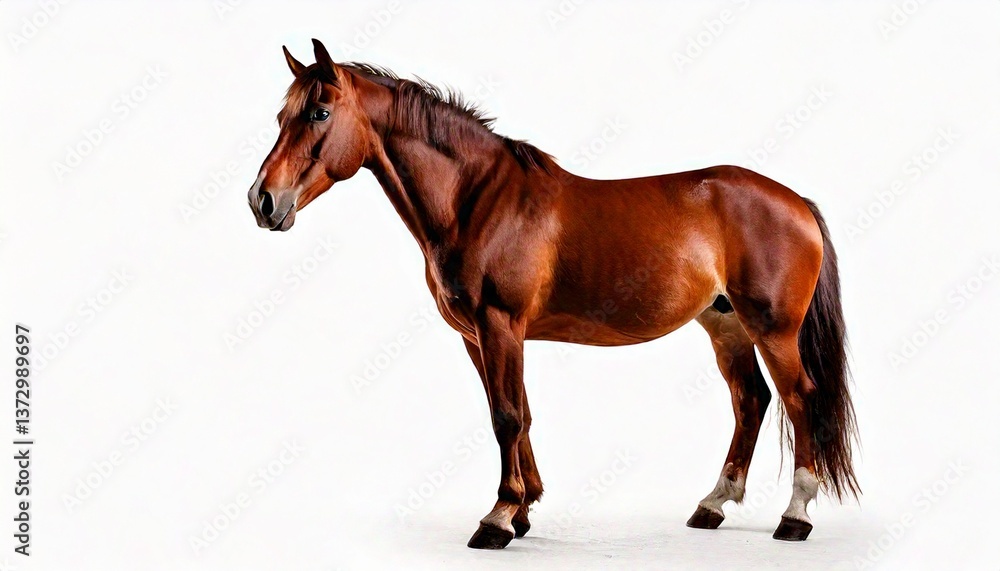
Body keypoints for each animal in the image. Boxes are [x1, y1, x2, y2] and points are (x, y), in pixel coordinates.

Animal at [247, 39, 859, 549]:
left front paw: (497, 518)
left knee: (800, 397)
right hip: (725, 324)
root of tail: (795, 201)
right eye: (281, 116)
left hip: (774, 328)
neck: (476, 200)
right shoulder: (479, 336)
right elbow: (516, 412)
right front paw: (523, 510)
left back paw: (795, 517)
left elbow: (506, 418)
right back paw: (712, 505)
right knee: (750, 399)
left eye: (320, 113)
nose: (263, 201)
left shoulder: (500, 323)